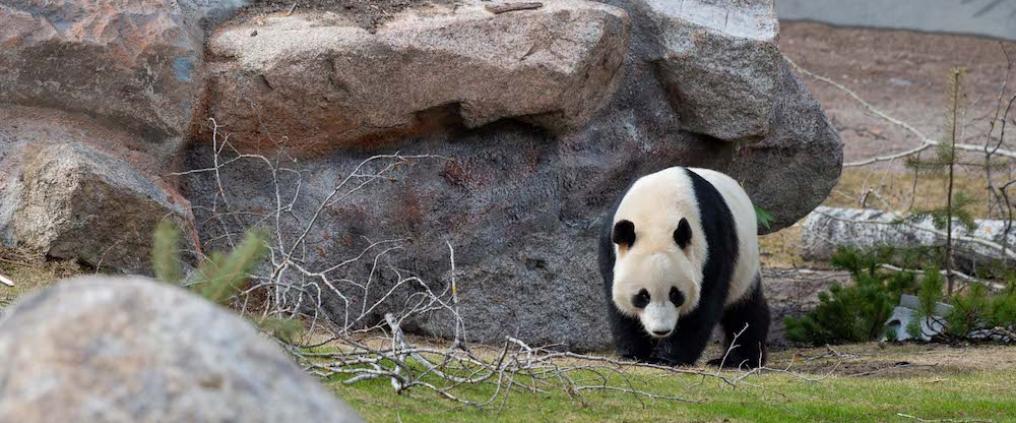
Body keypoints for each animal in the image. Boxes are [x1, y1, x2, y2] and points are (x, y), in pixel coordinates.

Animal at [593, 166, 768, 368]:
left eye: (675, 294)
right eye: (643, 296)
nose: (661, 330)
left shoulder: (711, 244)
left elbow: (701, 306)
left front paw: (667, 357)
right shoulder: (609, 251)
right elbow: (620, 307)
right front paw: (634, 353)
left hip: (745, 267)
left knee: (745, 311)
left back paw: (740, 360)